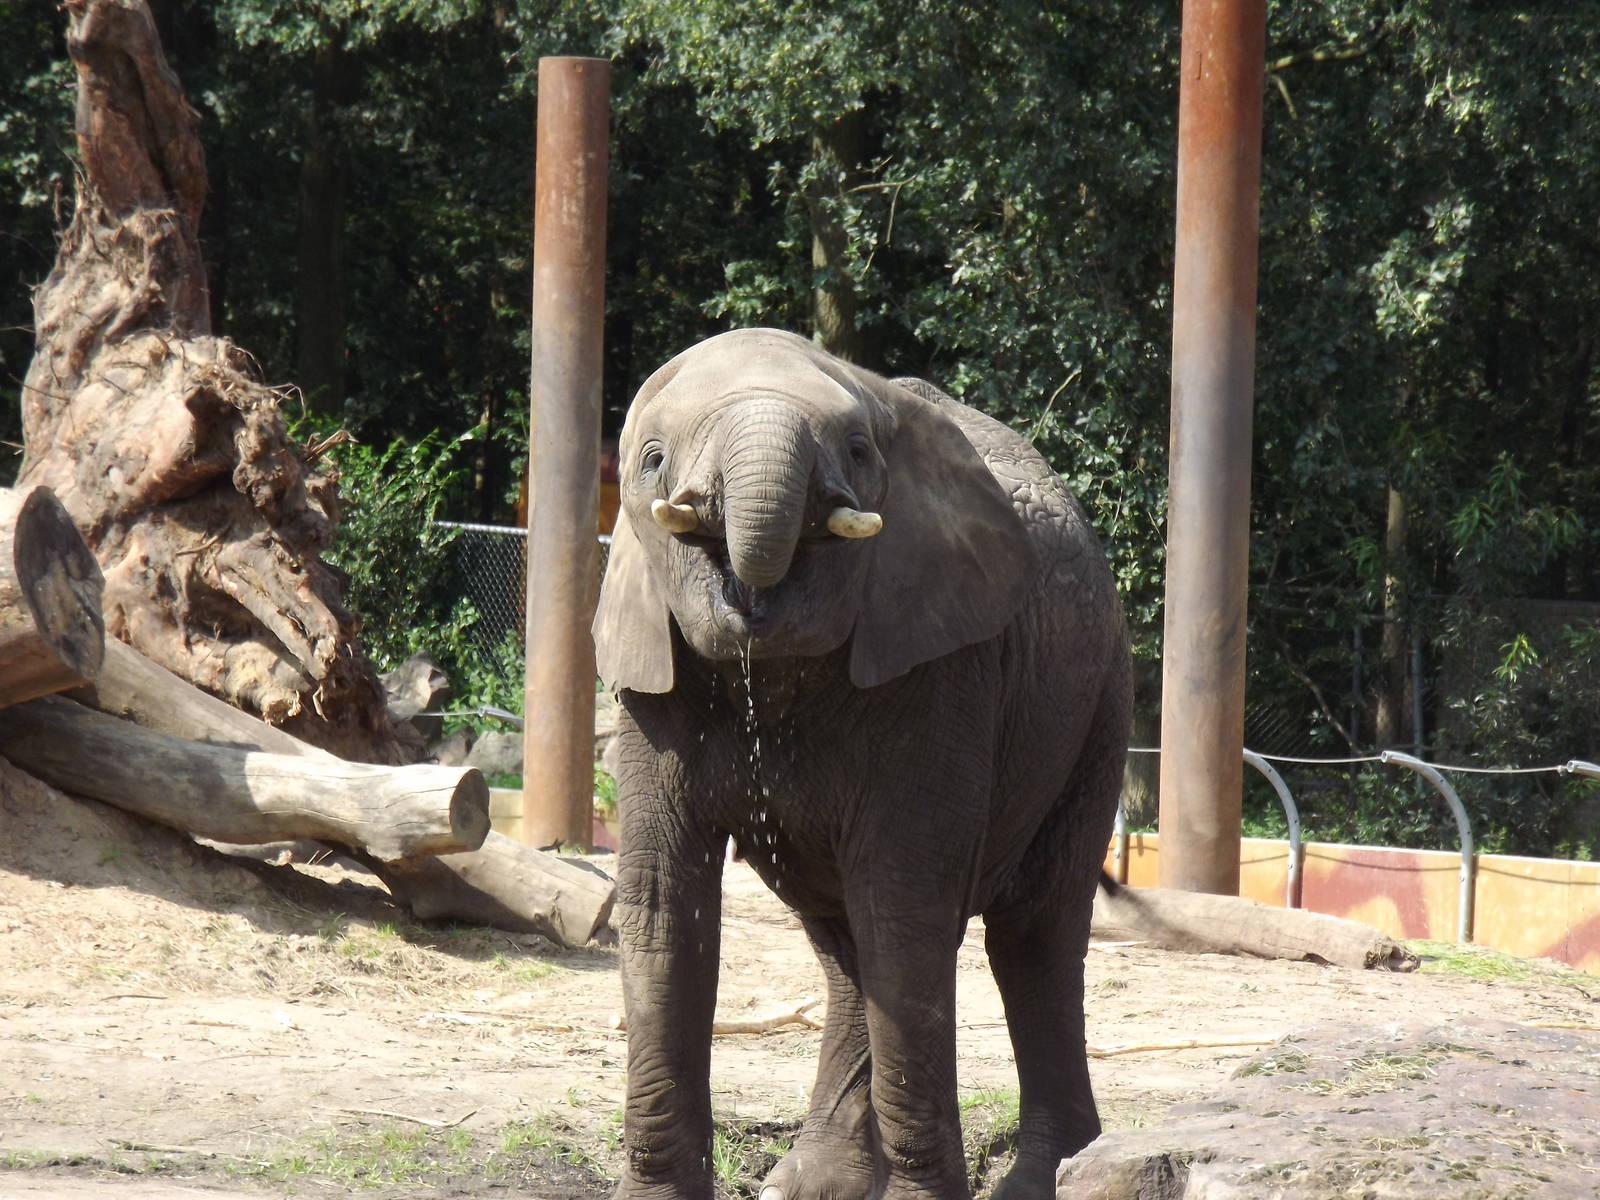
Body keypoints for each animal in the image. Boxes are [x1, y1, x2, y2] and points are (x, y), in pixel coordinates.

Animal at [592, 328, 1131, 1200]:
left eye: (855, 449)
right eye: (650, 461)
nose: (751, 591)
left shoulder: (943, 664)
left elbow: (905, 907)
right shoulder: (649, 674)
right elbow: (663, 903)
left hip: (1098, 701)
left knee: (1034, 932)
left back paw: (1046, 1179)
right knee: (842, 939)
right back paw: (810, 1183)